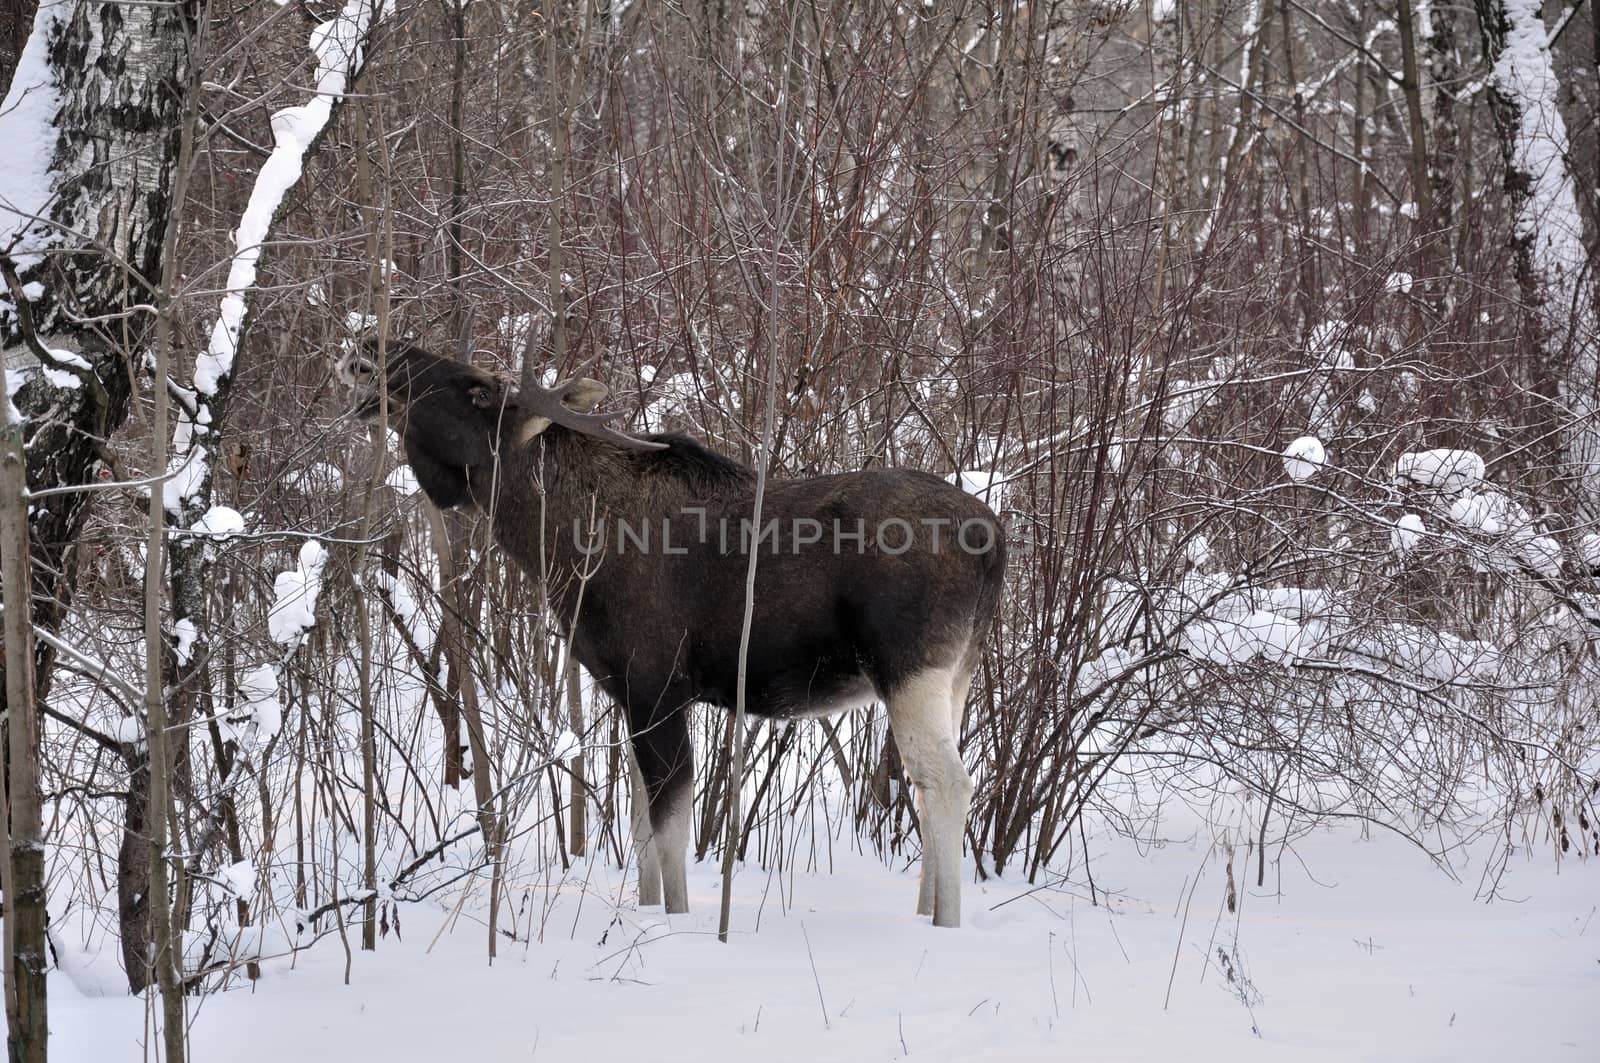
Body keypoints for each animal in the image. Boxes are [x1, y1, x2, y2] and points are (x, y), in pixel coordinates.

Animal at [340, 344, 998, 928]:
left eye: (477, 389)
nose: (372, 348)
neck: (559, 546)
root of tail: (997, 542)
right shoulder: (627, 694)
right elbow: (639, 822)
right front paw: (649, 911)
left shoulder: (657, 686)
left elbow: (669, 825)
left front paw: (676, 924)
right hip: (956, 674)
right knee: (927, 783)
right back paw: (924, 912)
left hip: (909, 668)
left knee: (949, 783)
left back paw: (944, 925)